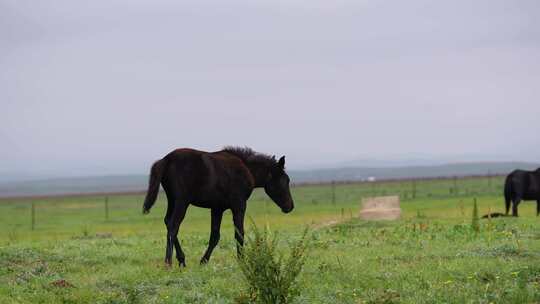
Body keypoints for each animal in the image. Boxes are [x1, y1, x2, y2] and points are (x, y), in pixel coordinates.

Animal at [141, 147, 296, 266]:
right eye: (284, 180)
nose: (290, 206)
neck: (247, 169)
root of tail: (165, 160)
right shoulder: (239, 205)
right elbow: (239, 234)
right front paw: (242, 261)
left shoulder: (217, 208)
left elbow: (215, 236)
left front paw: (203, 261)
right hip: (181, 202)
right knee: (173, 226)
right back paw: (168, 262)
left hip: (172, 200)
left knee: (168, 222)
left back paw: (182, 260)